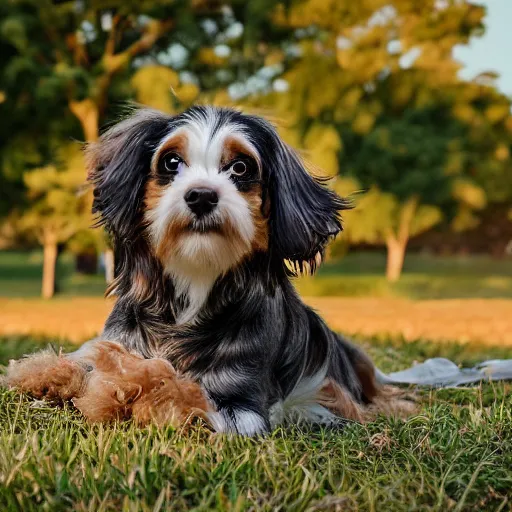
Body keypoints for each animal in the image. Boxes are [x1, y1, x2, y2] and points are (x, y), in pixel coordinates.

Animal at [69, 106, 396, 434]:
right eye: (171, 162)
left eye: (240, 167)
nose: (201, 195)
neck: (195, 280)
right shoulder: (115, 348)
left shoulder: (243, 403)